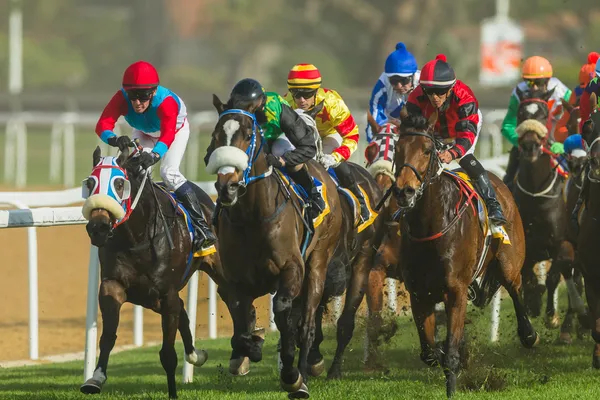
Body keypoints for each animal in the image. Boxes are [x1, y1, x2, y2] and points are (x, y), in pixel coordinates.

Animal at [79, 145, 220, 398]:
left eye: (119, 183)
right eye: (90, 183)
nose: (98, 228)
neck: (138, 238)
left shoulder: (166, 294)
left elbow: (168, 353)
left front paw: (173, 393)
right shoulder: (113, 286)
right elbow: (107, 337)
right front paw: (95, 379)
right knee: (183, 312)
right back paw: (197, 355)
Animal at [206, 96, 380, 396]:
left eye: (248, 135)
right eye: (216, 136)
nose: (227, 186)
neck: (252, 216)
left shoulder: (292, 270)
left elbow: (285, 314)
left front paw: (292, 374)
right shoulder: (235, 278)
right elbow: (241, 319)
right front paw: (248, 350)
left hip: (337, 261)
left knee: (318, 322)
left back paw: (315, 370)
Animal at [392, 115, 536, 396]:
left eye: (427, 150)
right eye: (396, 148)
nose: (404, 191)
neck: (431, 224)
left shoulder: (455, 291)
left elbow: (450, 354)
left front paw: (452, 386)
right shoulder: (419, 293)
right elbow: (429, 352)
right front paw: (442, 352)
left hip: (509, 262)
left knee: (515, 288)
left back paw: (528, 334)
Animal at [510, 86, 584, 328]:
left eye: (544, 115)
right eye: (521, 114)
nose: (530, 145)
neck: (537, 195)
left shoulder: (561, 243)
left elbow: (553, 277)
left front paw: (552, 315)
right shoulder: (526, 245)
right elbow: (528, 279)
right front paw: (532, 305)